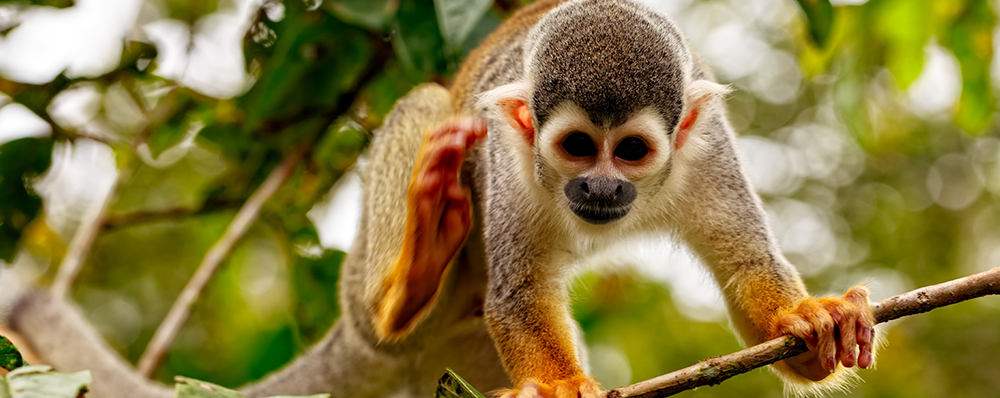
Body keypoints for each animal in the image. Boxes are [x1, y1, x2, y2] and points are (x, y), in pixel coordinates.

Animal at [0, 0, 876, 398]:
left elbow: (748, 272)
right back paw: (413, 270)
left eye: (630, 151)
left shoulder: (708, 147)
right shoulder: (506, 155)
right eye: (575, 148)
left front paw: (810, 325)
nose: (599, 186)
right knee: (426, 108)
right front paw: (559, 390)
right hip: (384, 284)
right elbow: (518, 295)